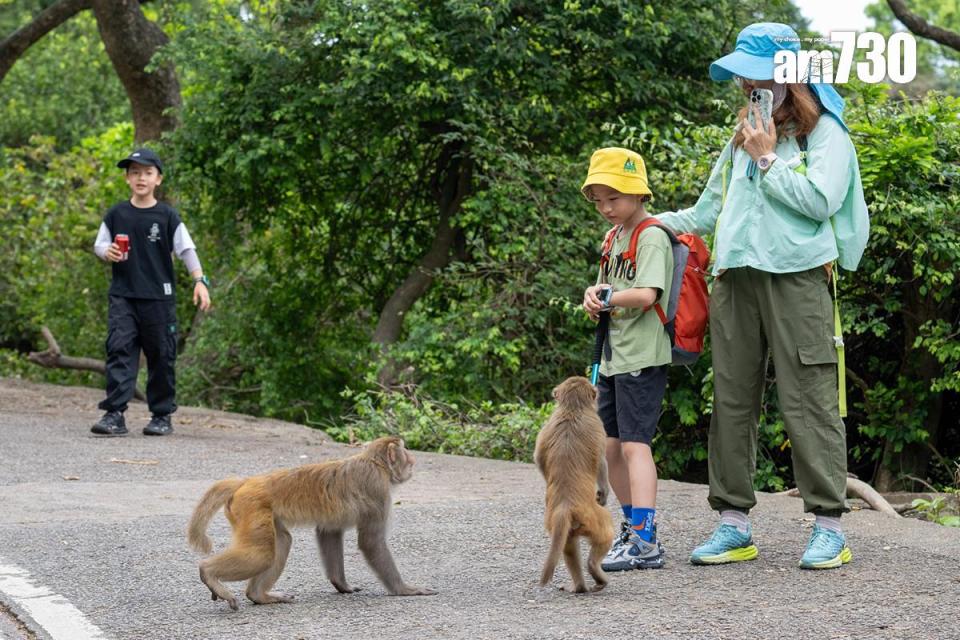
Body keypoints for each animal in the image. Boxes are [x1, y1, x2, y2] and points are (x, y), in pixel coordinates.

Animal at [185, 436, 438, 608]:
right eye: (405, 449)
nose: (413, 457)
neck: (376, 463)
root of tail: (245, 481)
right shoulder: (377, 490)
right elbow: (371, 541)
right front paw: (404, 589)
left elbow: (329, 532)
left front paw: (342, 585)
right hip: (252, 508)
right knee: (262, 554)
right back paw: (208, 573)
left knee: (282, 541)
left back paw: (259, 596)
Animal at [532, 376, 616, 596]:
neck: (572, 409)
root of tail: (565, 506)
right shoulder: (598, 425)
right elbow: (602, 462)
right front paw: (604, 492)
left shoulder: (546, 427)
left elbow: (538, 459)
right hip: (595, 519)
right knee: (606, 532)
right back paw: (595, 571)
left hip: (561, 523)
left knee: (567, 546)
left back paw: (578, 586)